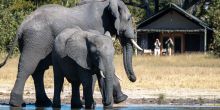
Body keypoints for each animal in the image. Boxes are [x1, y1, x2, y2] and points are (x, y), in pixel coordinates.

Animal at [0, 0, 143, 107]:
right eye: (129, 18)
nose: (133, 78)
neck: (106, 4)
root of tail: (21, 25)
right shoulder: (96, 30)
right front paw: (121, 99)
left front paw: (120, 99)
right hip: (35, 40)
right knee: (28, 67)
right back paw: (17, 104)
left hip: (34, 41)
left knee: (38, 70)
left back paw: (44, 103)